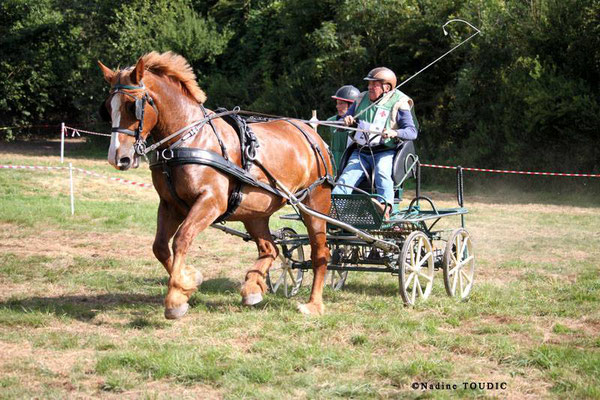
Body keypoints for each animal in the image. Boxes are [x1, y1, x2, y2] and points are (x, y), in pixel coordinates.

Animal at [98, 51, 332, 318]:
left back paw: (313, 304)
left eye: (132, 106)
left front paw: (175, 300)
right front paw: (189, 280)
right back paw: (252, 288)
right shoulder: (170, 205)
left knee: (320, 252)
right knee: (270, 248)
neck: (185, 140)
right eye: (108, 108)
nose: (118, 158)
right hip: (254, 212)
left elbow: (182, 239)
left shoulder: (211, 202)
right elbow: (160, 247)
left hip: (314, 205)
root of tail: (312, 135)